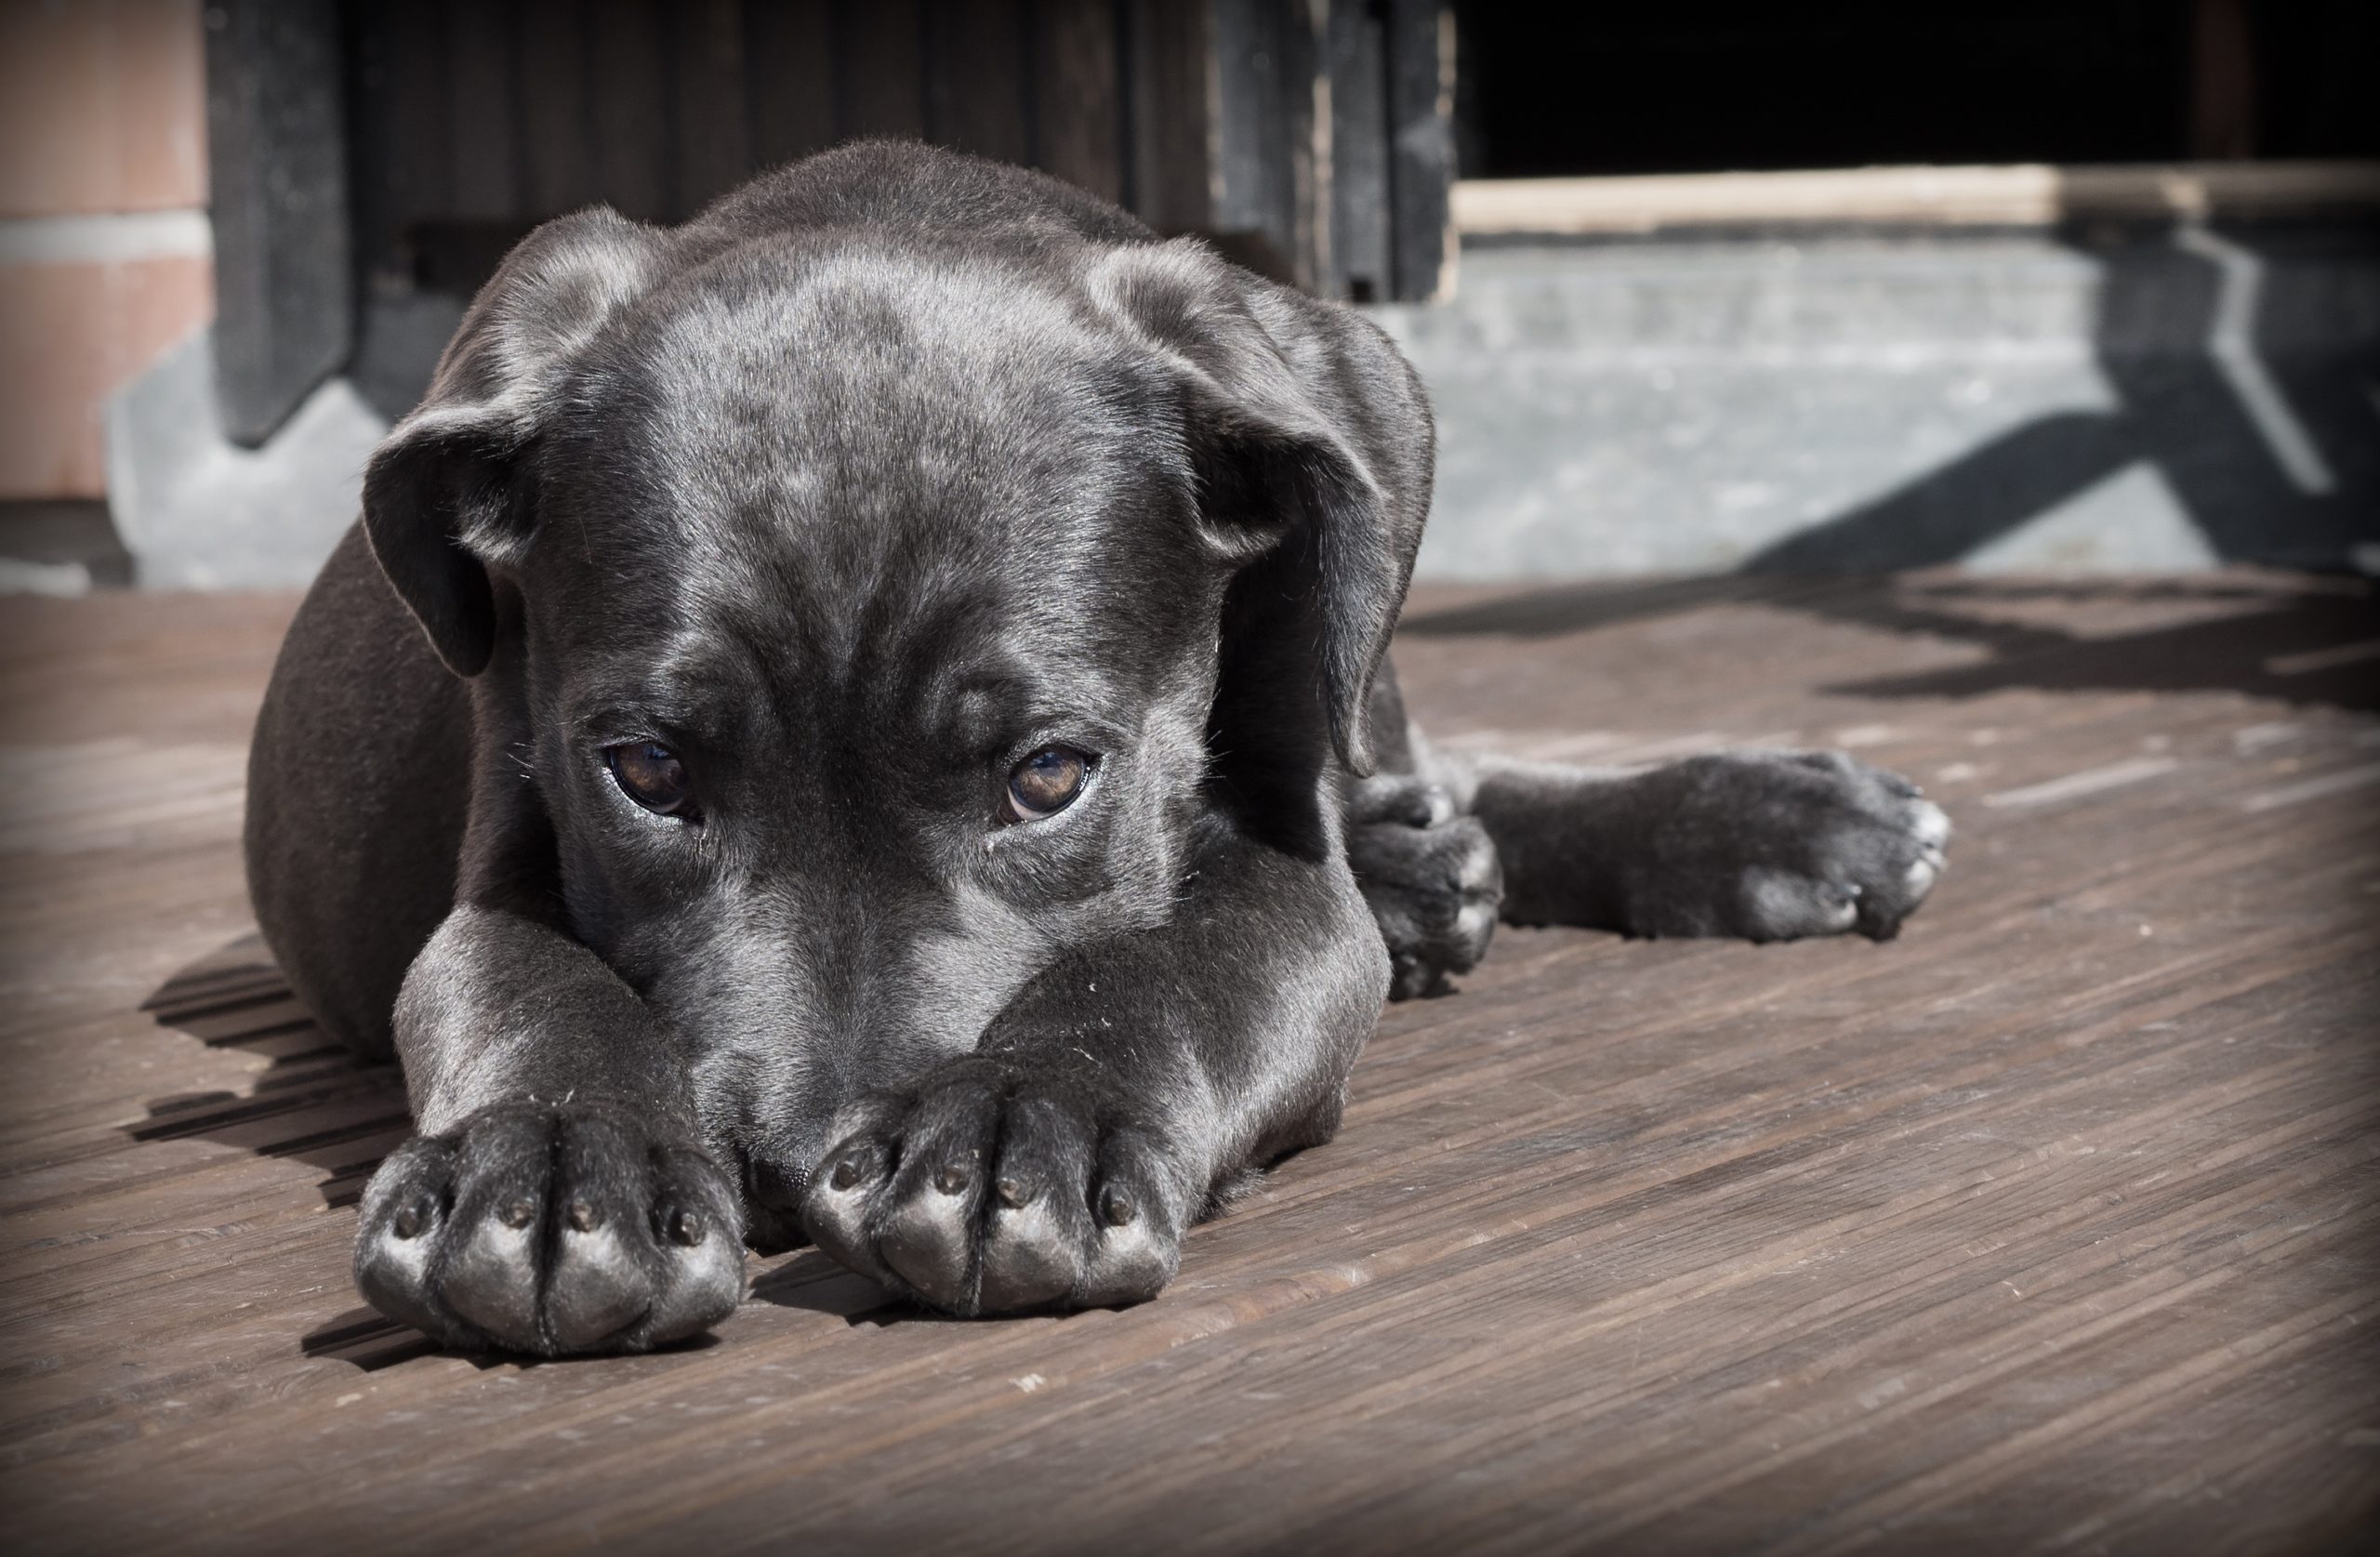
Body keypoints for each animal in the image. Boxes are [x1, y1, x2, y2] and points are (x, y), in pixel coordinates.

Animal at [251, 143, 1941, 1352]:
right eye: (648, 775)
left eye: (1050, 775)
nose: (794, 1171)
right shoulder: (501, 851)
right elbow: (531, 985)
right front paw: (550, 1164)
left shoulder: (1283, 881)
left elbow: (1167, 964)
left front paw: (1023, 1121)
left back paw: (1761, 820)